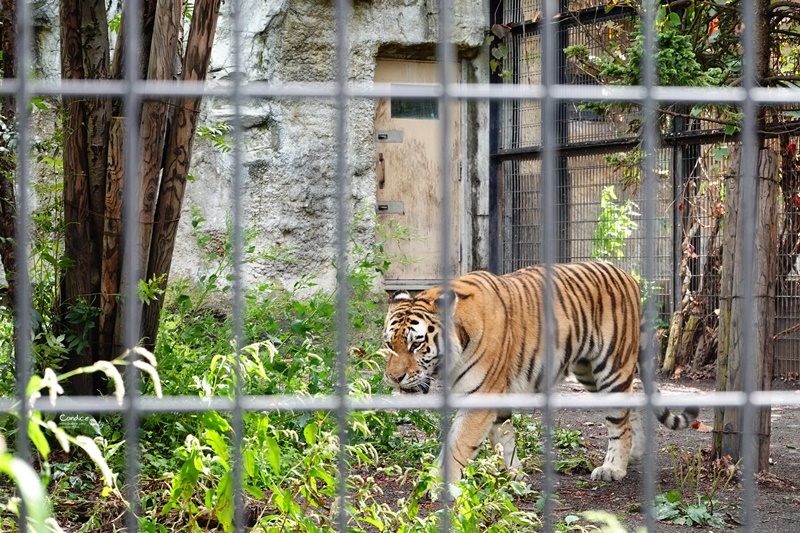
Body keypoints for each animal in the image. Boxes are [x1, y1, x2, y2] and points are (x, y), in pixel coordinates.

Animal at [378, 262, 696, 482]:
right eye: (390, 345)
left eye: (416, 344)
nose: (394, 378)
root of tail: (628, 276)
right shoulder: (497, 394)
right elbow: (503, 438)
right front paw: (514, 474)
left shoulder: (481, 395)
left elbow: (458, 445)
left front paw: (439, 486)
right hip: (589, 373)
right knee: (631, 408)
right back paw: (635, 454)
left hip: (611, 369)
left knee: (618, 423)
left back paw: (613, 468)